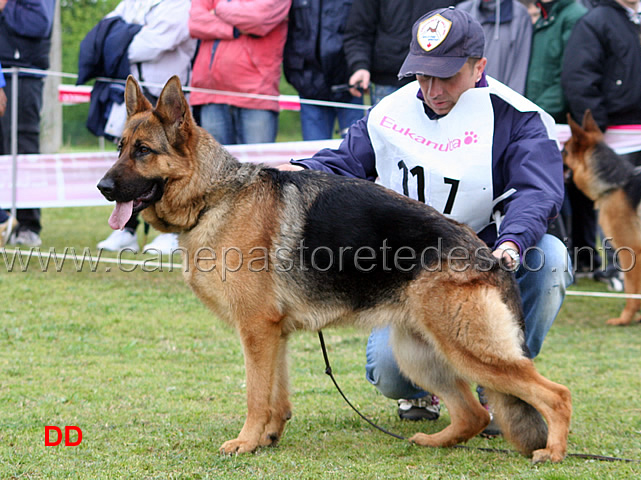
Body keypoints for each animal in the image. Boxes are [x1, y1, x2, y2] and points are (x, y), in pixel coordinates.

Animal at [96, 77, 568, 464]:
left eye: (143, 151)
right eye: (119, 148)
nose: (101, 187)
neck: (215, 195)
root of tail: (490, 257)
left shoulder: (256, 330)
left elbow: (255, 394)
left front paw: (245, 442)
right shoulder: (274, 335)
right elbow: (276, 395)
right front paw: (268, 437)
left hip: (469, 351)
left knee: (555, 395)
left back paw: (553, 452)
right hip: (419, 354)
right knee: (472, 413)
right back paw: (435, 442)